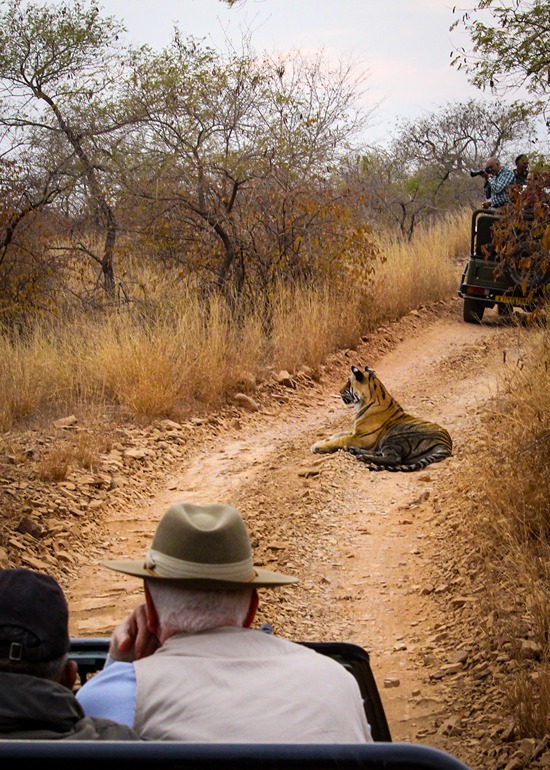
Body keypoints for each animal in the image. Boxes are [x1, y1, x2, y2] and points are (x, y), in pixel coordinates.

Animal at [311, 365, 452, 472]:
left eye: (348, 382)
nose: (339, 391)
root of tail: (446, 445)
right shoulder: (356, 432)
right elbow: (338, 434)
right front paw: (322, 440)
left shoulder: (361, 437)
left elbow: (340, 440)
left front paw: (317, 446)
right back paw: (354, 451)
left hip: (395, 437)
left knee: (395, 458)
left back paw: (363, 456)